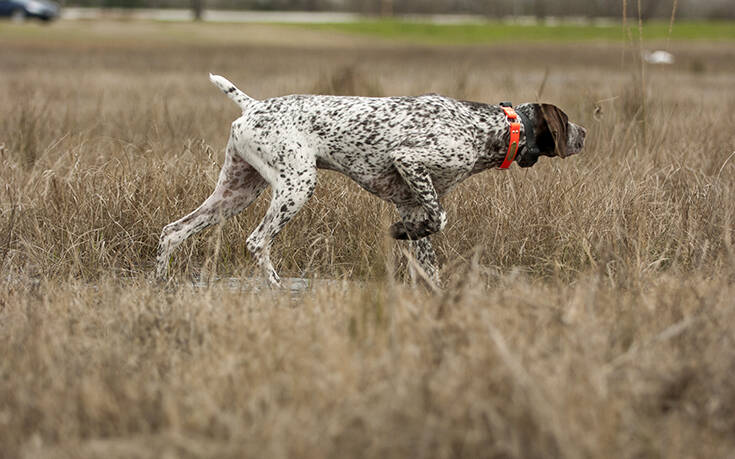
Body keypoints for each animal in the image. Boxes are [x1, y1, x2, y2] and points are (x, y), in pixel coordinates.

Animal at [154, 73, 588, 286]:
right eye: (568, 122)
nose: (584, 134)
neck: (492, 128)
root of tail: (253, 106)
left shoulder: (412, 202)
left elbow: (429, 257)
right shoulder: (410, 161)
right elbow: (440, 218)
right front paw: (398, 233)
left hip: (236, 191)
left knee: (173, 231)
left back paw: (161, 284)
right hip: (297, 184)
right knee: (257, 241)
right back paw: (278, 290)